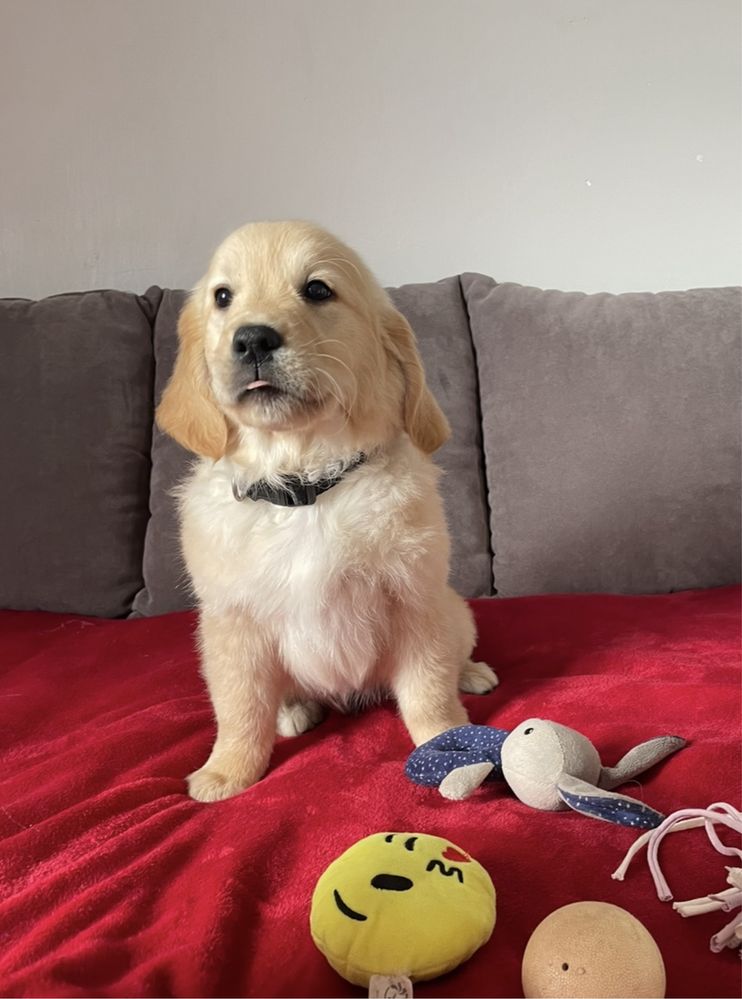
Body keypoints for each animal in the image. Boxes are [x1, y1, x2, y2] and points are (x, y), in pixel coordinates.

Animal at [159, 223, 500, 800]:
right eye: (223, 297)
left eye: (317, 290)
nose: (252, 339)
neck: (306, 489)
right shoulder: (232, 624)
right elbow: (239, 708)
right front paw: (227, 770)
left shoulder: (416, 601)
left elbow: (429, 692)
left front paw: (449, 746)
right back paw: (294, 710)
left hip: (457, 611)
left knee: (456, 654)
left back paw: (472, 673)